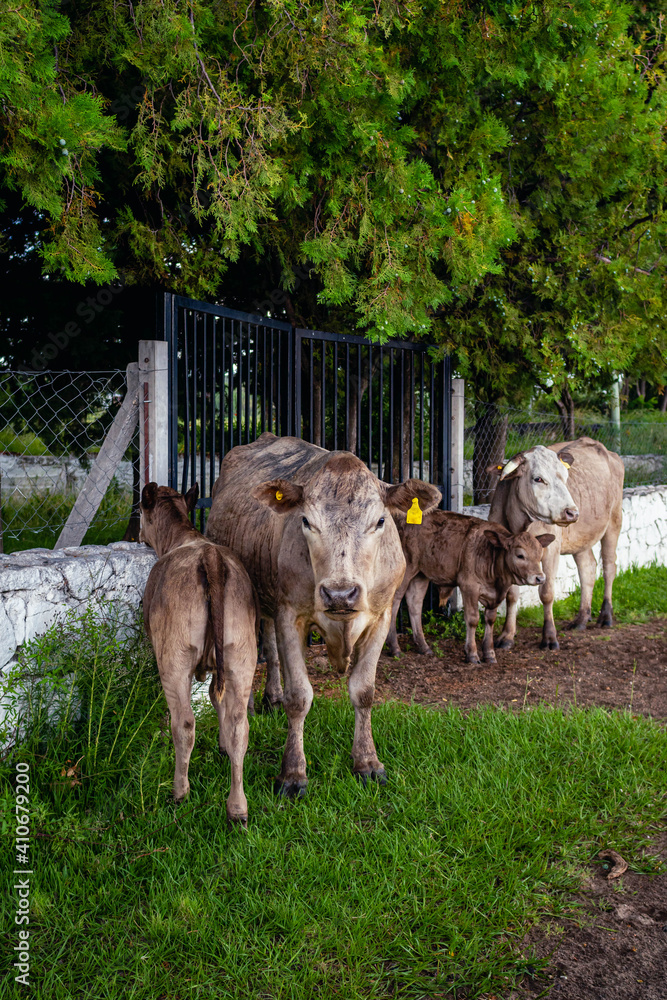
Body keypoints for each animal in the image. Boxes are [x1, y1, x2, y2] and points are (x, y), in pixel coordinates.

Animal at [140, 483, 259, 826]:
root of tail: (210, 556)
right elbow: (217, 701)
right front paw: (222, 746)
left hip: (174, 658)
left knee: (184, 723)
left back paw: (179, 792)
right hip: (241, 653)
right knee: (240, 724)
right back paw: (237, 808)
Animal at [206, 432, 441, 798]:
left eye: (380, 521)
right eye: (306, 521)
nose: (340, 593)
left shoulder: (382, 616)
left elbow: (364, 690)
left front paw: (367, 763)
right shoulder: (291, 615)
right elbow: (300, 697)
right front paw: (293, 773)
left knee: (270, 645)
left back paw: (272, 696)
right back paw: (253, 705)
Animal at [385, 511, 554, 662]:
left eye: (540, 555)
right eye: (520, 555)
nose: (540, 578)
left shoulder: (496, 594)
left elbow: (490, 619)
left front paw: (489, 654)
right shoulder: (468, 586)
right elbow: (473, 619)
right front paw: (472, 654)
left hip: (421, 574)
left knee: (415, 603)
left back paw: (424, 647)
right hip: (405, 571)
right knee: (394, 603)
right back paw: (395, 648)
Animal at [487, 438, 624, 651]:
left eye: (566, 478)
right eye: (538, 479)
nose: (572, 512)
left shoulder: (550, 550)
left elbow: (547, 592)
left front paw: (550, 637)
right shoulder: (506, 554)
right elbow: (512, 594)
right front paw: (506, 635)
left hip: (614, 523)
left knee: (609, 567)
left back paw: (606, 616)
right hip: (581, 538)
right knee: (588, 568)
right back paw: (581, 619)